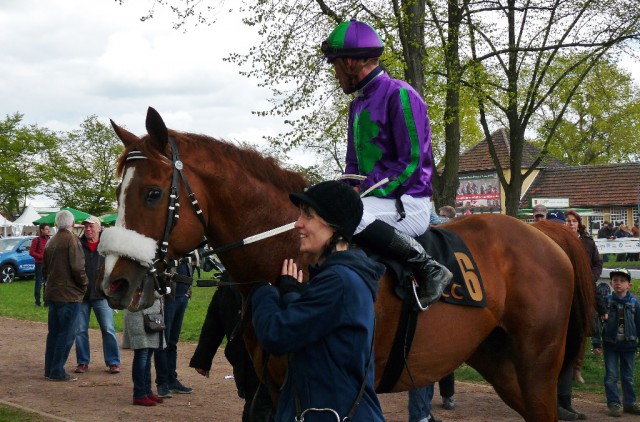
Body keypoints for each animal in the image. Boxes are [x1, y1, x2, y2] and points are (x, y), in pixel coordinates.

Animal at [99, 107, 596, 420]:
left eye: (153, 193)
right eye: (119, 192)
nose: (115, 284)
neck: (290, 253)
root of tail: (545, 233)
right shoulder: (273, 388)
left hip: (536, 365)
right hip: (501, 364)